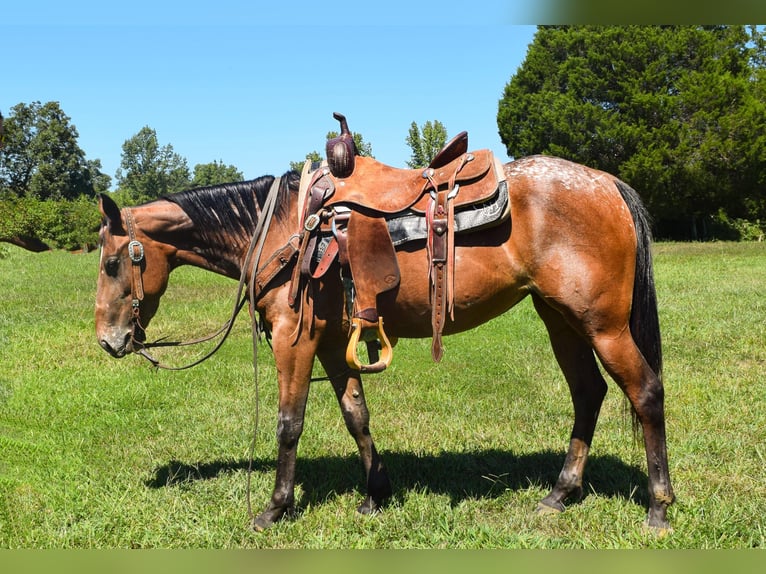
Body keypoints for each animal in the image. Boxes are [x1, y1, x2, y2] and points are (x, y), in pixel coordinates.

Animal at [96, 154, 680, 536]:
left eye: (112, 262)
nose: (108, 340)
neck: (284, 228)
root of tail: (607, 184)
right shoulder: (334, 342)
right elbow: (356, 414)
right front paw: (375, 494)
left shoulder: (294, 338)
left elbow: (289, 424)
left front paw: (275, 508)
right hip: (561, 319)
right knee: (588, 394)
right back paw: (559, 495)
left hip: (603, 325)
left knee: (646, 393)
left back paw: (658, 508)